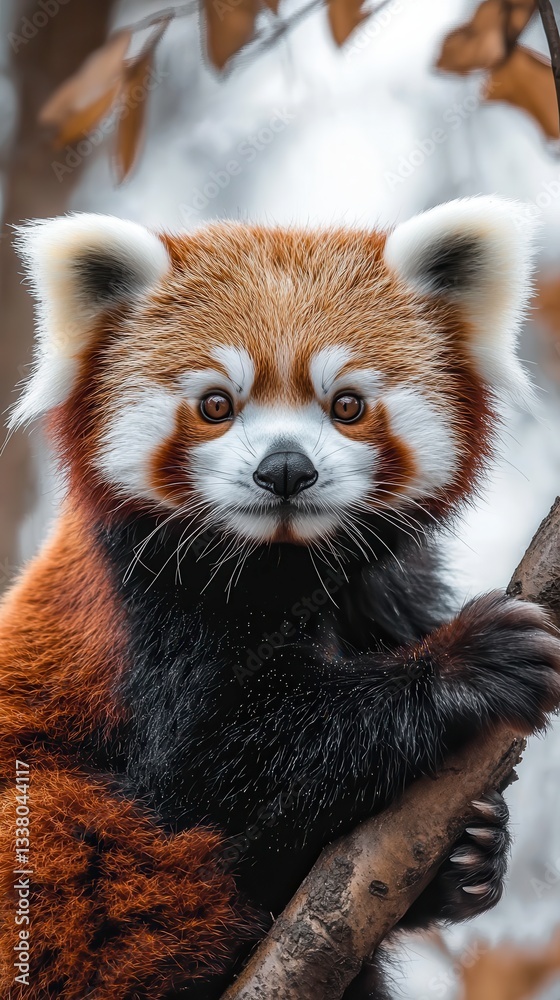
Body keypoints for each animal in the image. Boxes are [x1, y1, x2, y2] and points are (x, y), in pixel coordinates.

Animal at [0, 197, 559, 1000]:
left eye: (348, 404)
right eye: (215, 404)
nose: (286, 469)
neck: (285, 564)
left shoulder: (392, 586)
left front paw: (474, 855)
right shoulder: (148, 599)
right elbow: (207, 772)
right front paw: (462, 664)